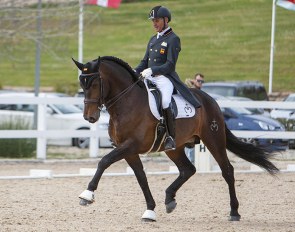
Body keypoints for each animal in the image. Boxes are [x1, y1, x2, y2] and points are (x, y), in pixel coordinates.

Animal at [72, 55, 280, 221]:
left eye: (95, 84)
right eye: (82, 84)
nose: (89, 117)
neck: (127, 102)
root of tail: (211, 100)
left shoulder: (131, 145)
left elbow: (104, 161)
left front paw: (87, 194)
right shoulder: (128, 149)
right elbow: (141, 177)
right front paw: (150, 211)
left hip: (213, 139)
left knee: (227, 170)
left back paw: (234, 212)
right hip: (175, 147)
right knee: (188, 169)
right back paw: (169, 199)